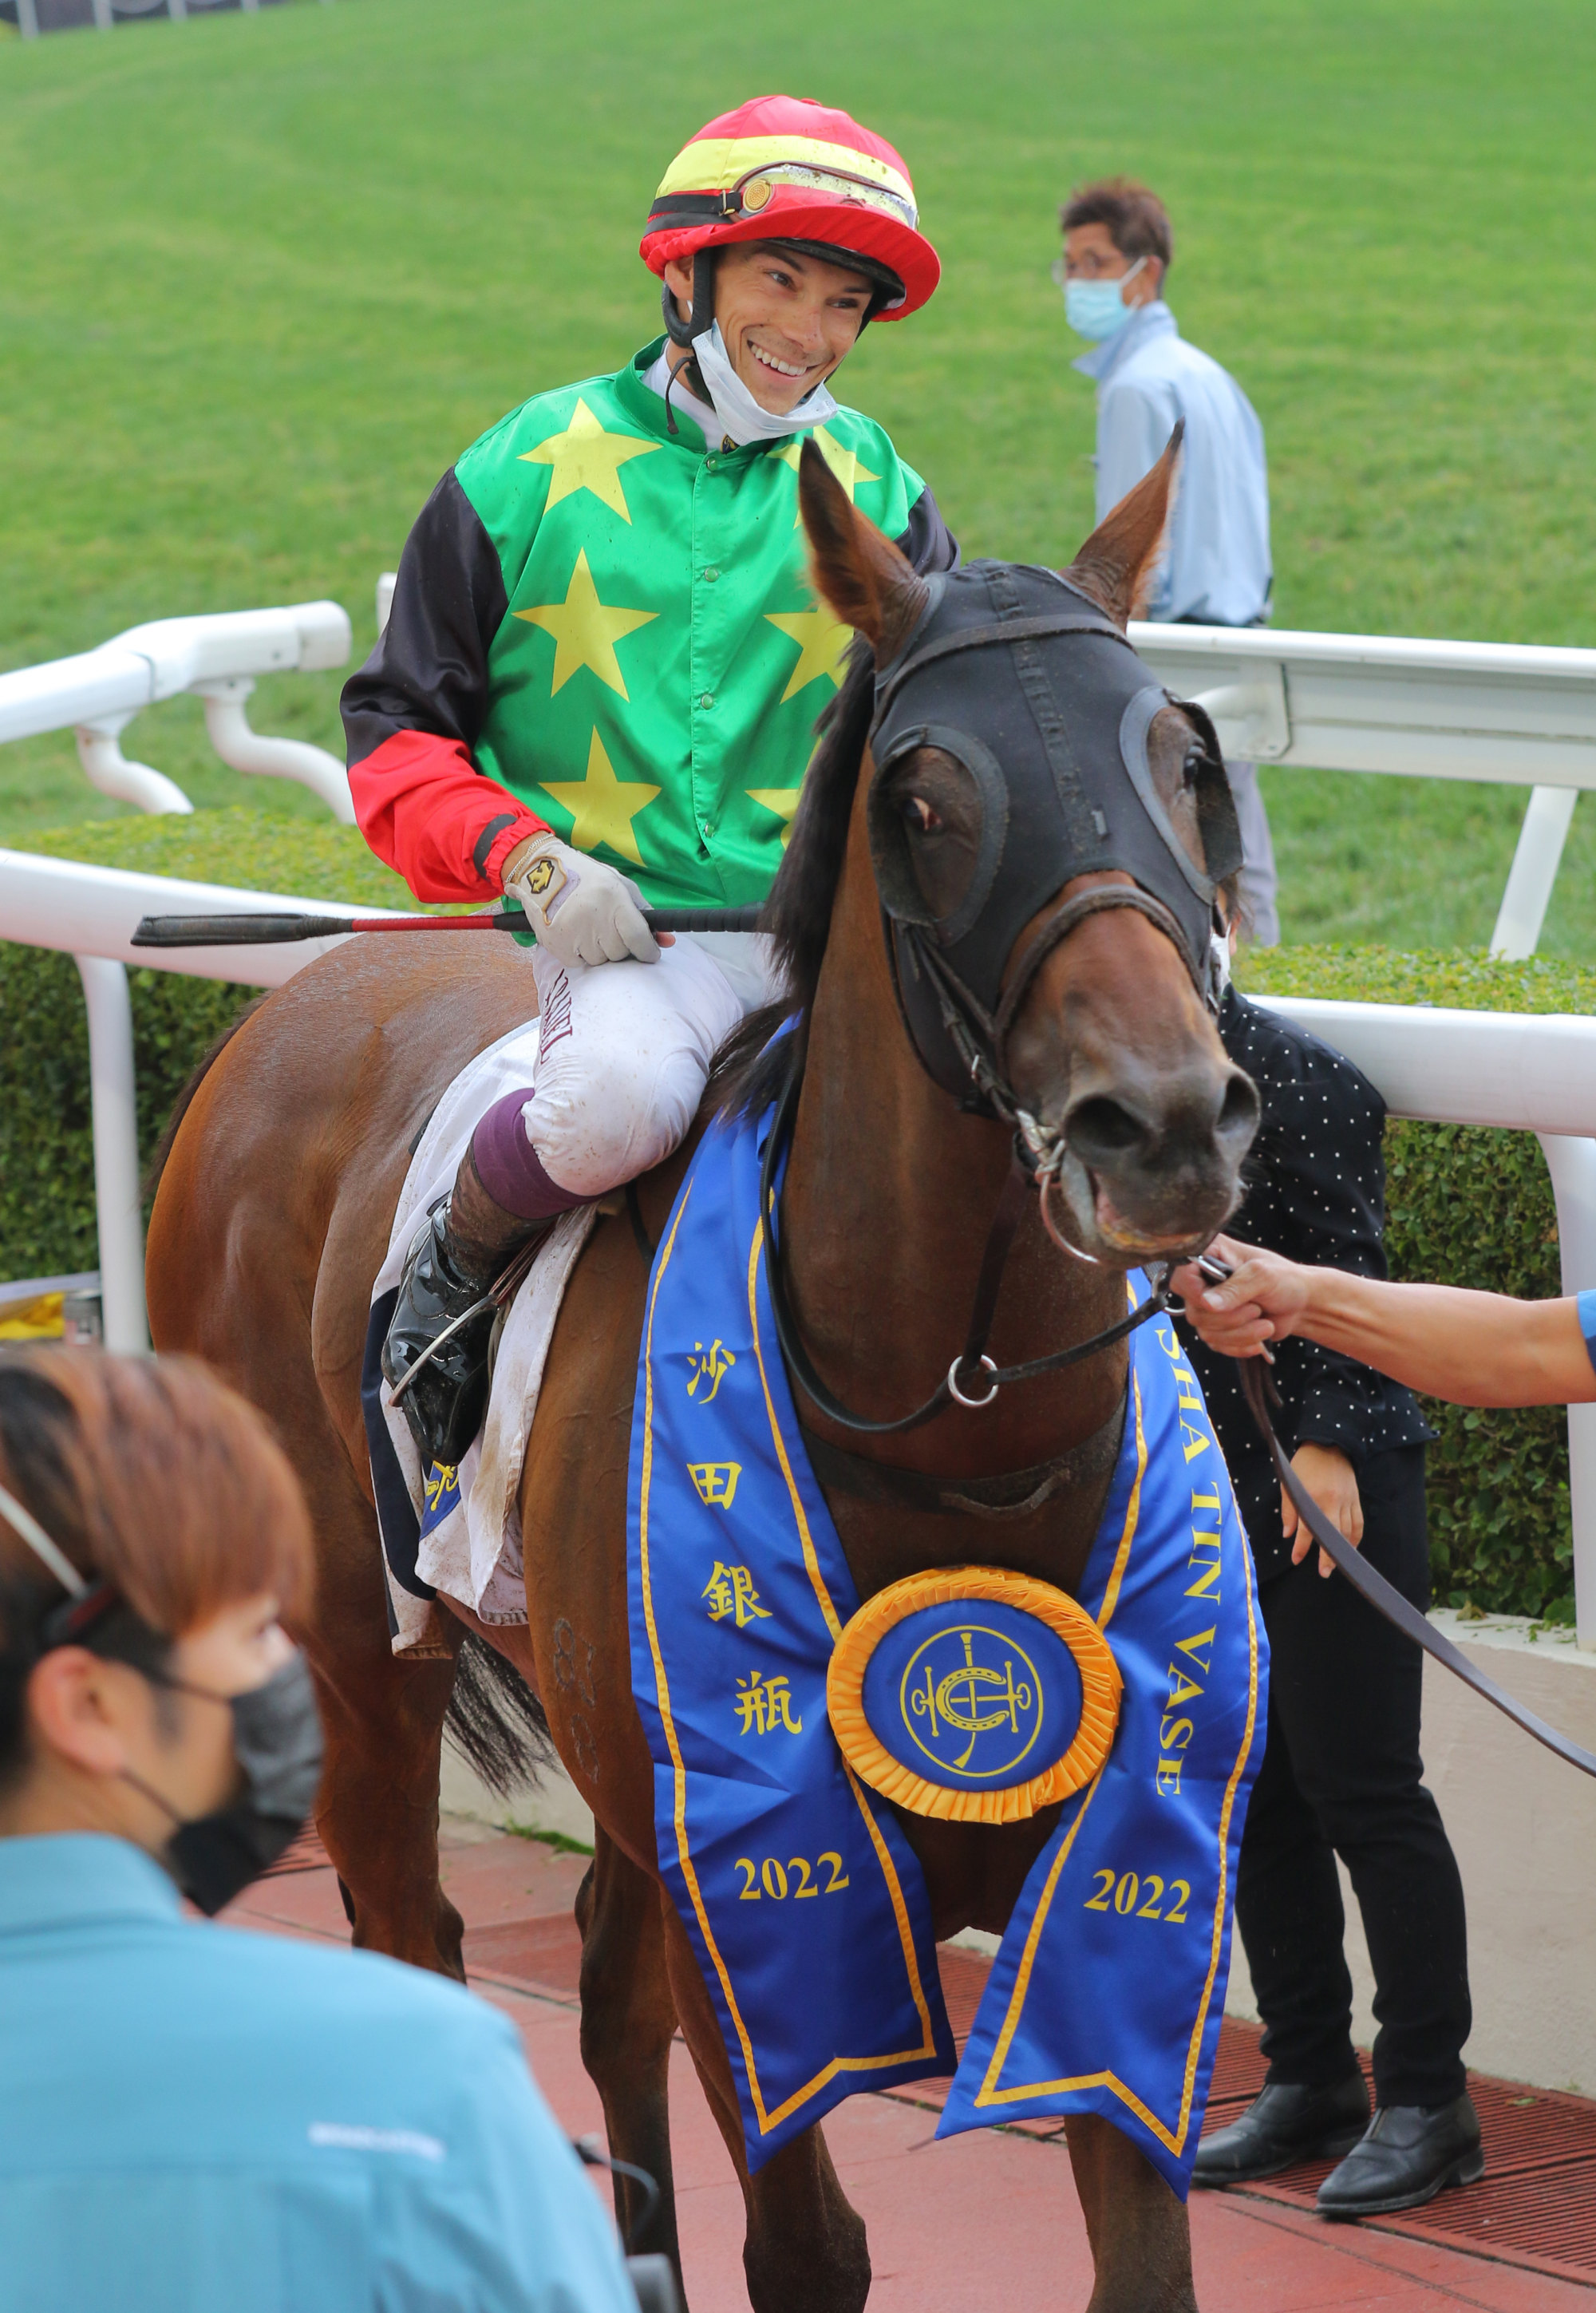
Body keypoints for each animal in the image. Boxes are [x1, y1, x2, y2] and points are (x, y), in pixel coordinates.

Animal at [155, 437, 1258, 2313]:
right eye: (925, 794)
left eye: (1179, 757)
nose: (1165, 1123)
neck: (955, 1433)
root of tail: (301, 998)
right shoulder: (751, 1885)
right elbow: (811, 2245)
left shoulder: (1111, 1876)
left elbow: (1142, 2258)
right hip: (353, 1648)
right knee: (417, 1941)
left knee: (597, 1979)